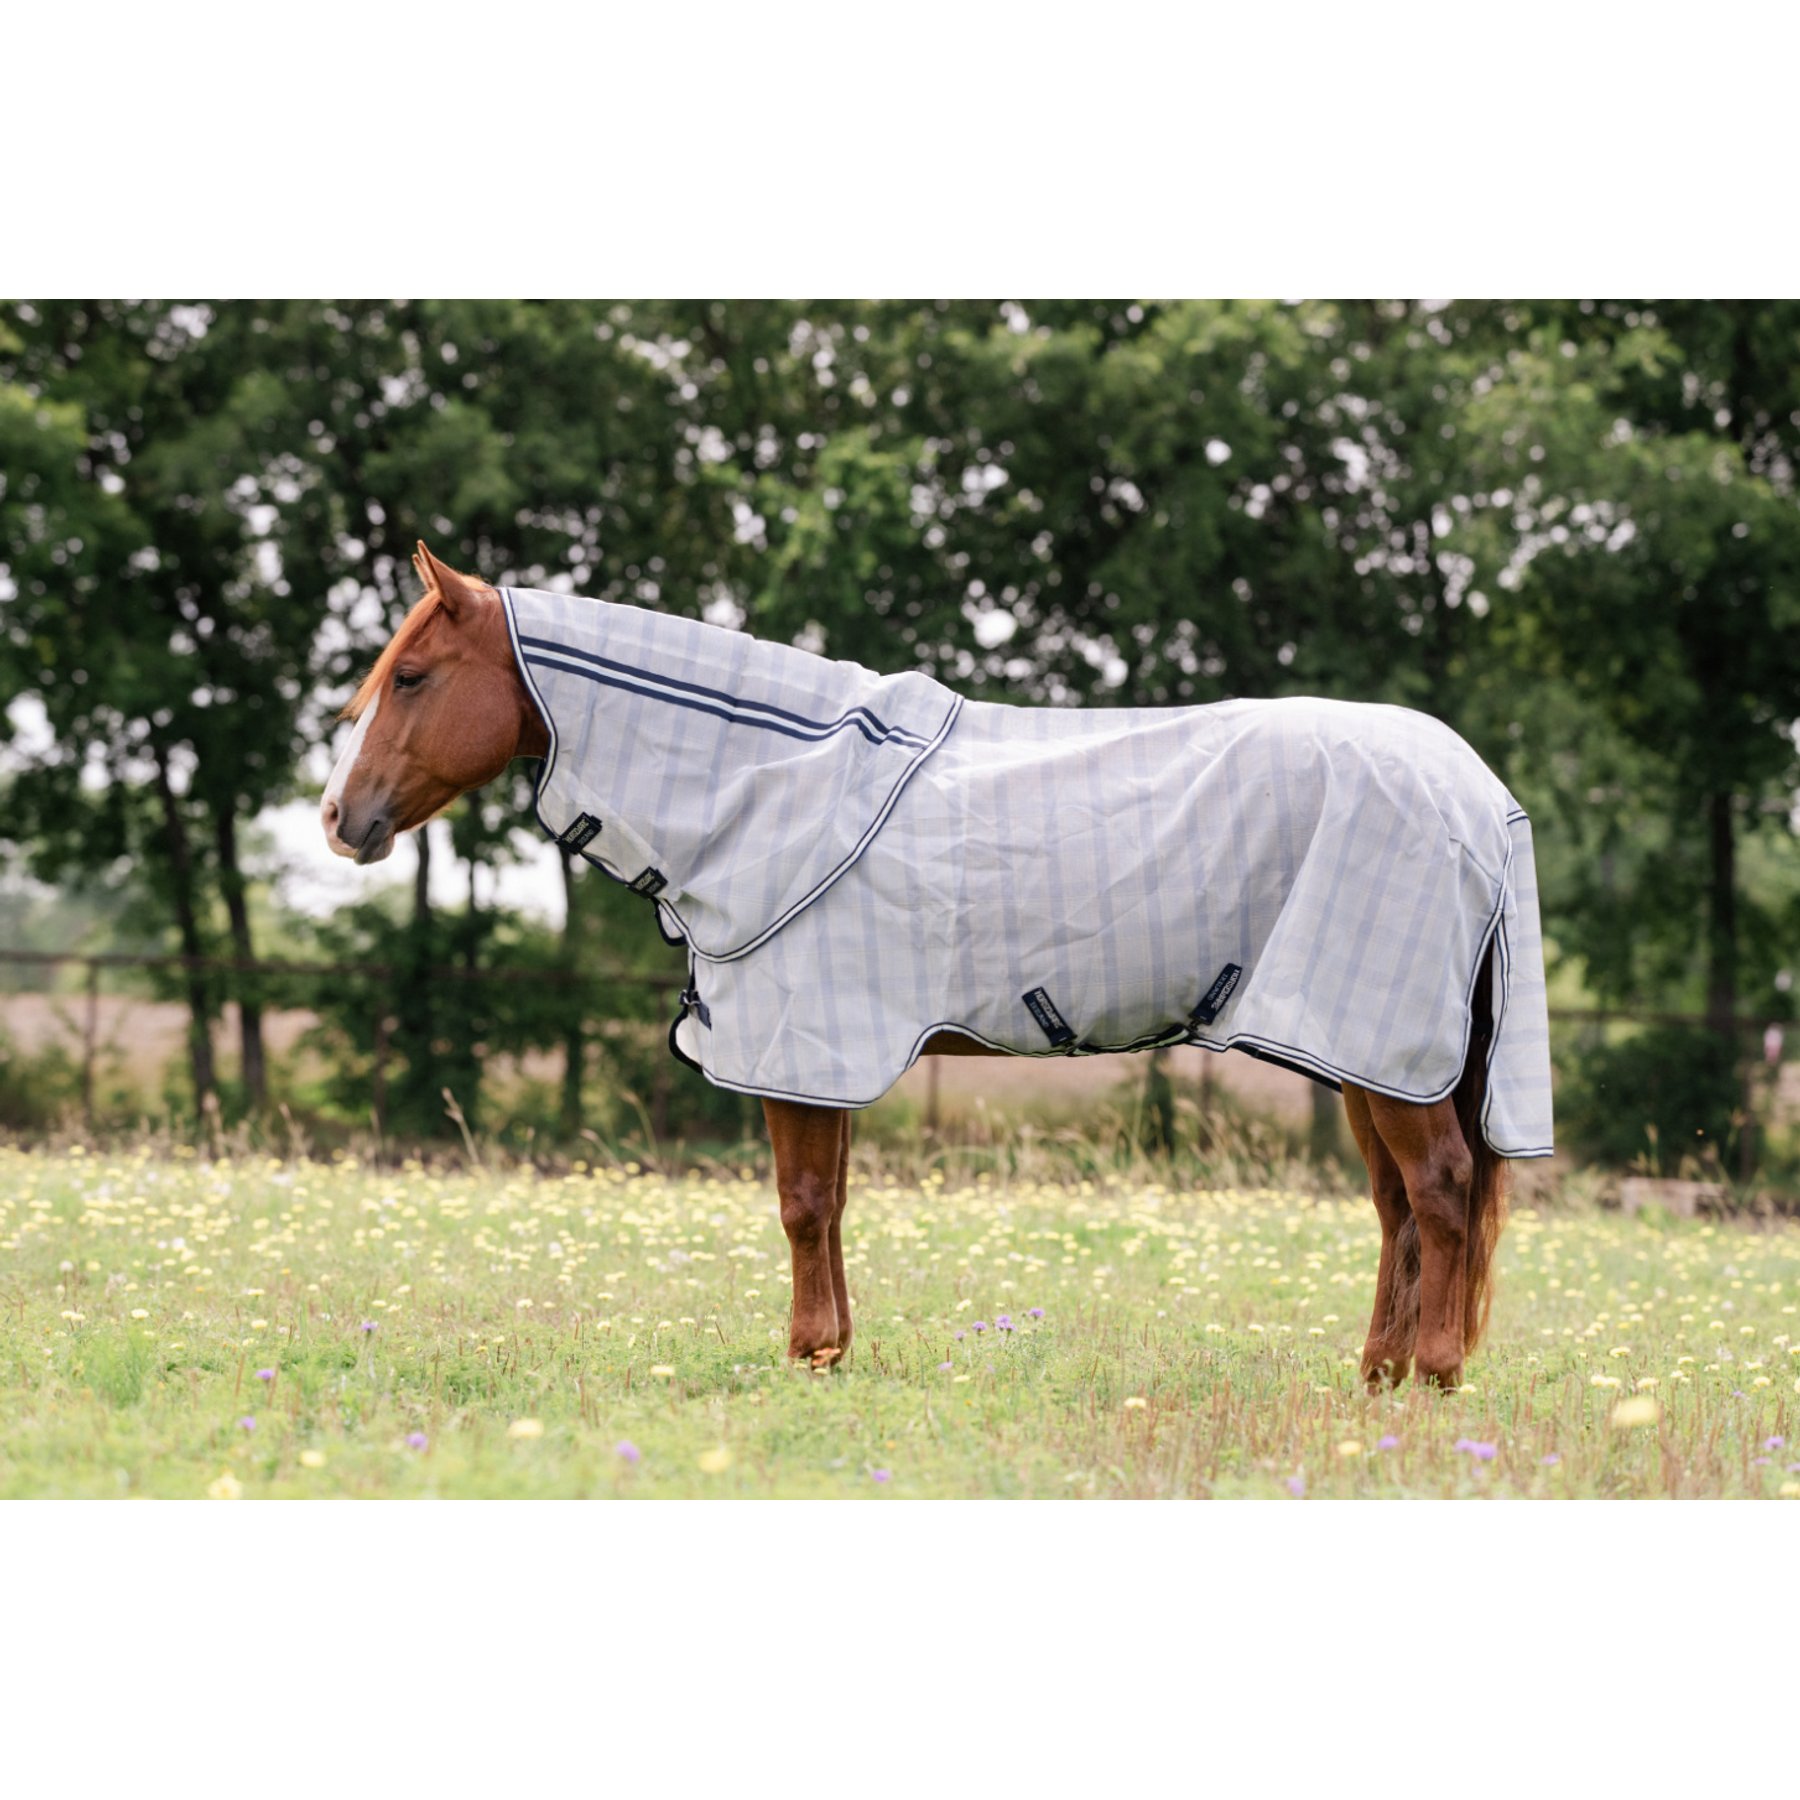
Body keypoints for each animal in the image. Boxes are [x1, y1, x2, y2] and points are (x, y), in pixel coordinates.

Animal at [324, 542, 1550, 1389]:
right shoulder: (823, 1055)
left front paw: (808, 1356)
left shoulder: (802, 1044)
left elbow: (801, 1204)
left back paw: (1433, 1377)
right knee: (1398, 1208)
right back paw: (1378, 1377)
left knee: (1441, 1194)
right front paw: (832, 1353)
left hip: (1386, 1048)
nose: (341, 820)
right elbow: (830, 1203)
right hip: (1366, 1053)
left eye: (415, 675)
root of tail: (1479, 794)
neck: (771, 779)